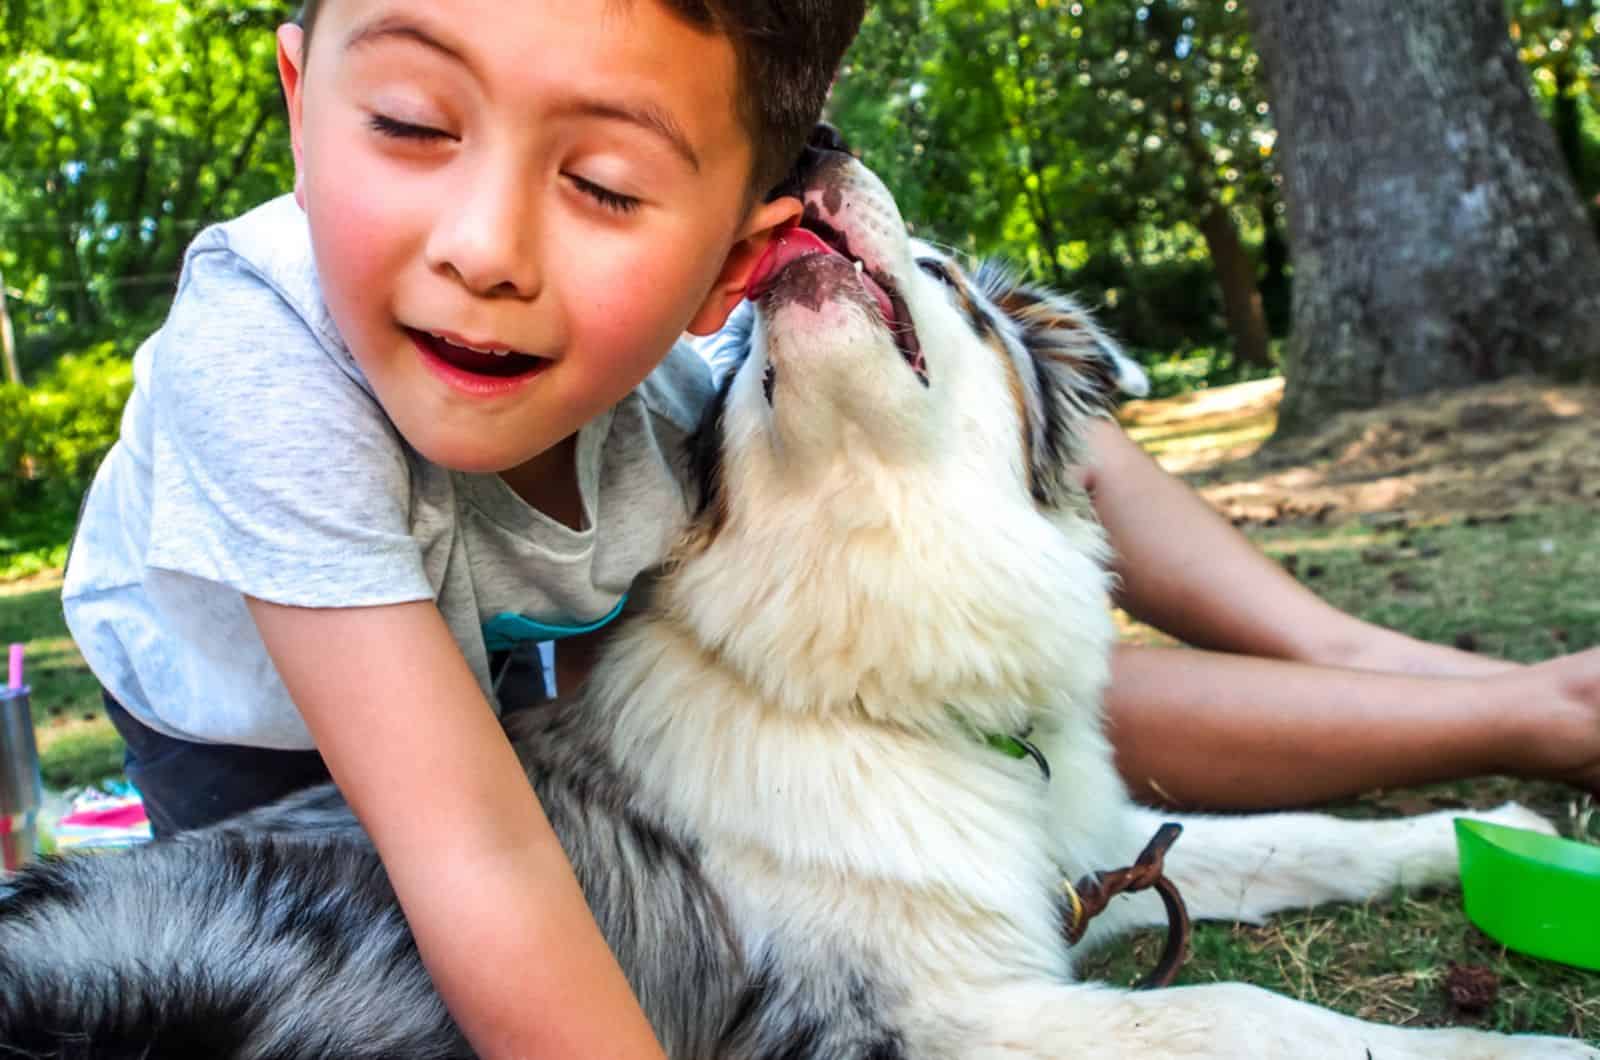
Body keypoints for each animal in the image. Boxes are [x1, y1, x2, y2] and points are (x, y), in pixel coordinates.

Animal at [6, 147, 1593, 1060]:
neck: (875, 649)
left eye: (945, 276)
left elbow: (1293, 838)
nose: (819, 146)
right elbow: (1246, 1009)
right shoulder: (943, 1019)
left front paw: (1488, 825)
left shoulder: (1081, 855)